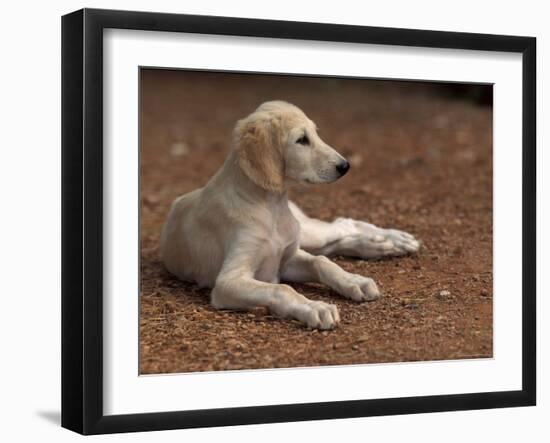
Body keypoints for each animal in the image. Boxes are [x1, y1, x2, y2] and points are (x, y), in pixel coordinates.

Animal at [162, 100, 420, 330]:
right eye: (301, 140)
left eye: (315, 134)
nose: (345, 166)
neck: (271, 206)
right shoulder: (229, 281)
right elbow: (282, 288)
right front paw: (316, 307)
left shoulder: (287, 257)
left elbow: (322, 263)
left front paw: (353, 280)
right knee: (335, 239)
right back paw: (379, 245)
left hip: (307, 234)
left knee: (341, 227)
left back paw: (394, 240)